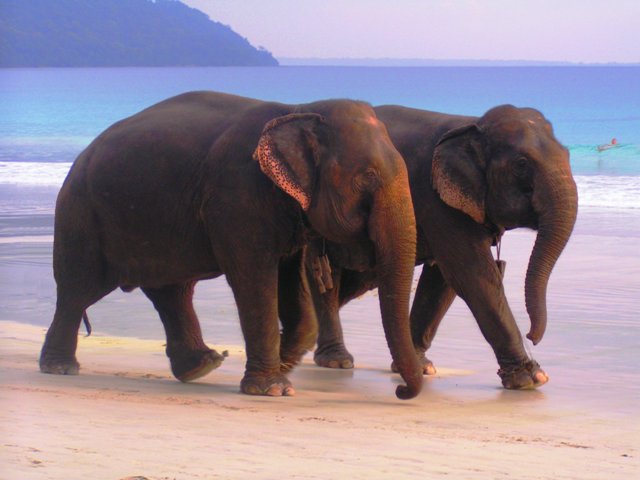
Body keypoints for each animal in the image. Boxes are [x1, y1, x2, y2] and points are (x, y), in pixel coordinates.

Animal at [39, 91, 424, 399]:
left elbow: (292, 282)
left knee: (172, 292)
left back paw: (202, 367)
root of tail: (83, 153)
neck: (298, 109)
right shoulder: (238, 195)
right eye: (367, 177)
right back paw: (60, 368)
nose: (401, 391)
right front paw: (272, 388)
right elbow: (254, 277)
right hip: (80, 213)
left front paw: (283, 367)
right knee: (79, 288)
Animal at [306, 104, 578, 390]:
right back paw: (336, 361)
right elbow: (472, 275)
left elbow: (442, 281)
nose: (532, 336)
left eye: (568, 155)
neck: (473, 125)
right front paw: (530, 379)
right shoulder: (435, 198)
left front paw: (420, 367)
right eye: (521, 164)